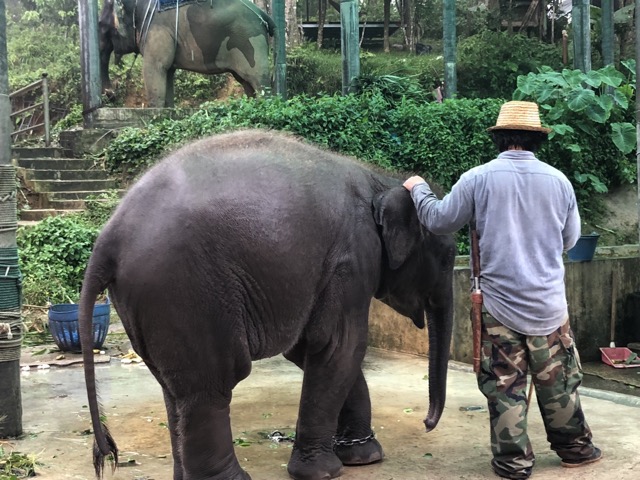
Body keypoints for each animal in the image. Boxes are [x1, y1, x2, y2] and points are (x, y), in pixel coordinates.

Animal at [79, 129, 456, 480]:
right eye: (447, 258)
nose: (427, 423)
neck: (380, 178)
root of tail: (107, 238)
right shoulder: (351, 260)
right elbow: (340, 346)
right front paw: (326, 471)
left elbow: (310, 351)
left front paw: (362, 456)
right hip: (184, 291)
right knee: (212, 384)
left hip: (146, 302)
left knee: (175, 389)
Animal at [98, 0, 275, 107]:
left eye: (101, 26)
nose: (111, 94)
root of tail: (263, 15)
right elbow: (167, 73)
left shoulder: (157, 30)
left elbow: (155, 68)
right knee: (246, 83)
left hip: (250, 42)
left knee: (258, 80)